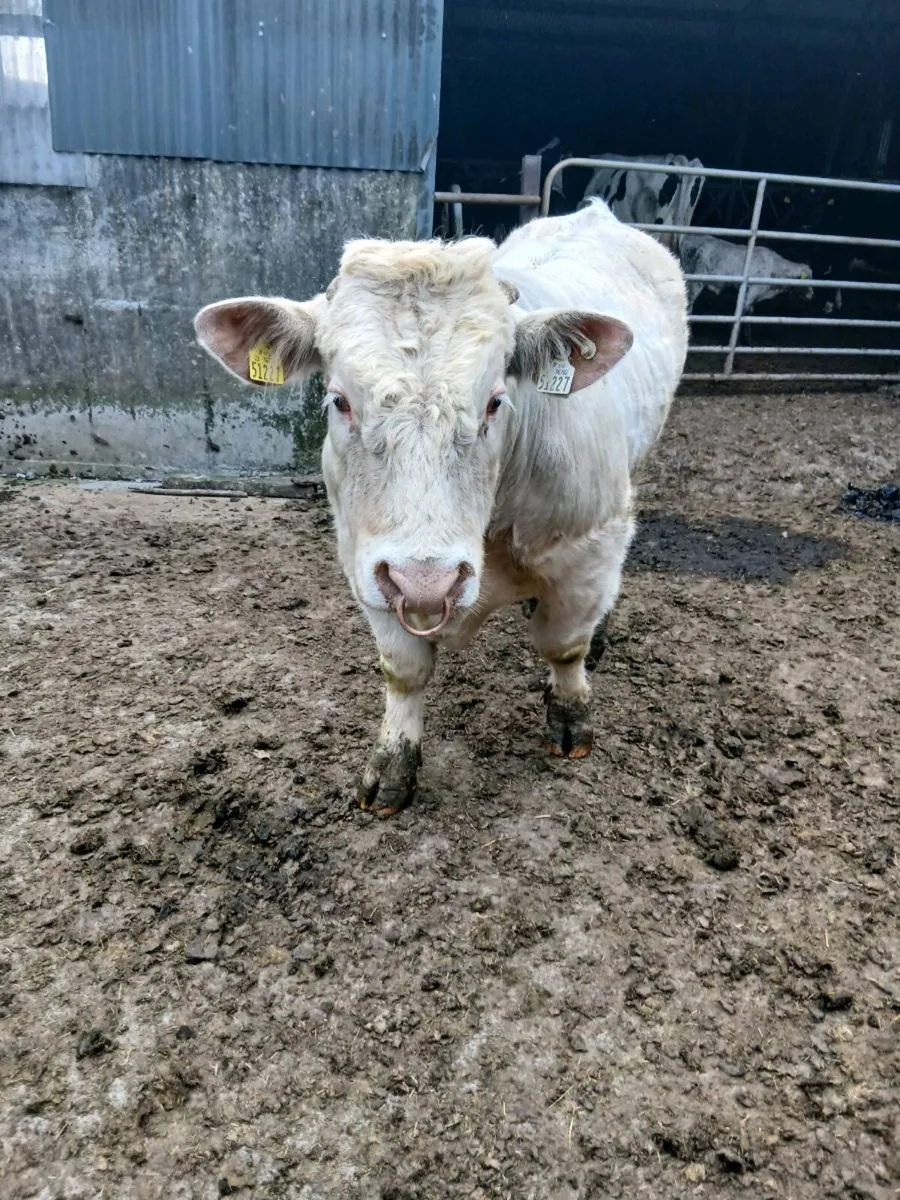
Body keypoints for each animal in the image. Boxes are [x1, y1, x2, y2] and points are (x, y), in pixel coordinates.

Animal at [193, 199, 688, 817]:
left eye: (496, 401)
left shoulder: (589, 549)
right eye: (339, 400)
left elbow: (565, 645)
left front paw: (572, 720)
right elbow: (403, 672)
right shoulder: (369, 562)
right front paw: (391, 767)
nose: (427, 583)